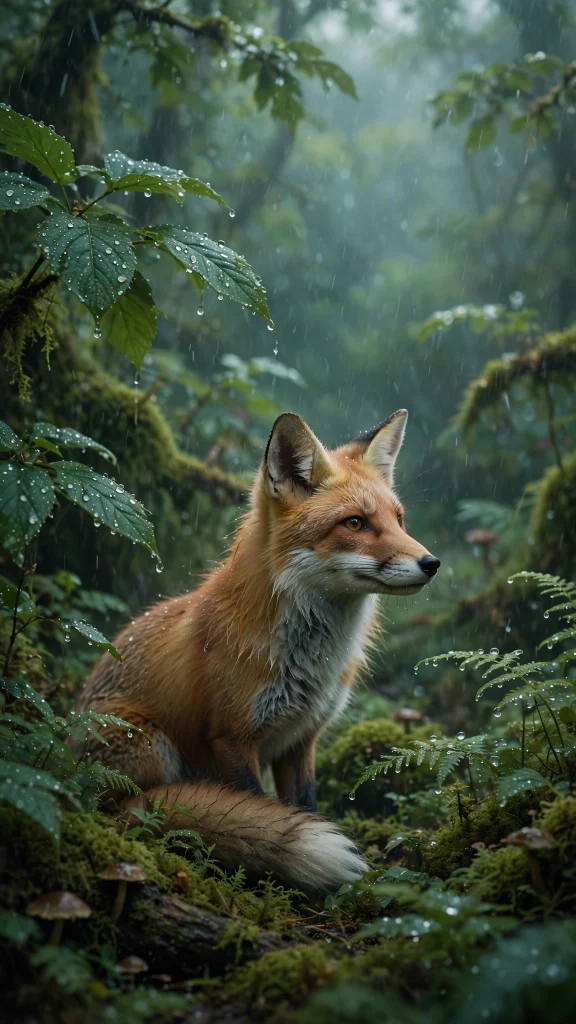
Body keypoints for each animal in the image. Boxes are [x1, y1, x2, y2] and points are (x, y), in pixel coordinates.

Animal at [78, 409, 440, 891]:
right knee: (132, 810)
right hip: (148, 744)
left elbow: (304, 806)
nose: (431, 563)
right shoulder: (232, 737)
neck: (310, 661)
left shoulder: (302, 738)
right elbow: (253, 805)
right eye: (355, 523)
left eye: (399, 520)